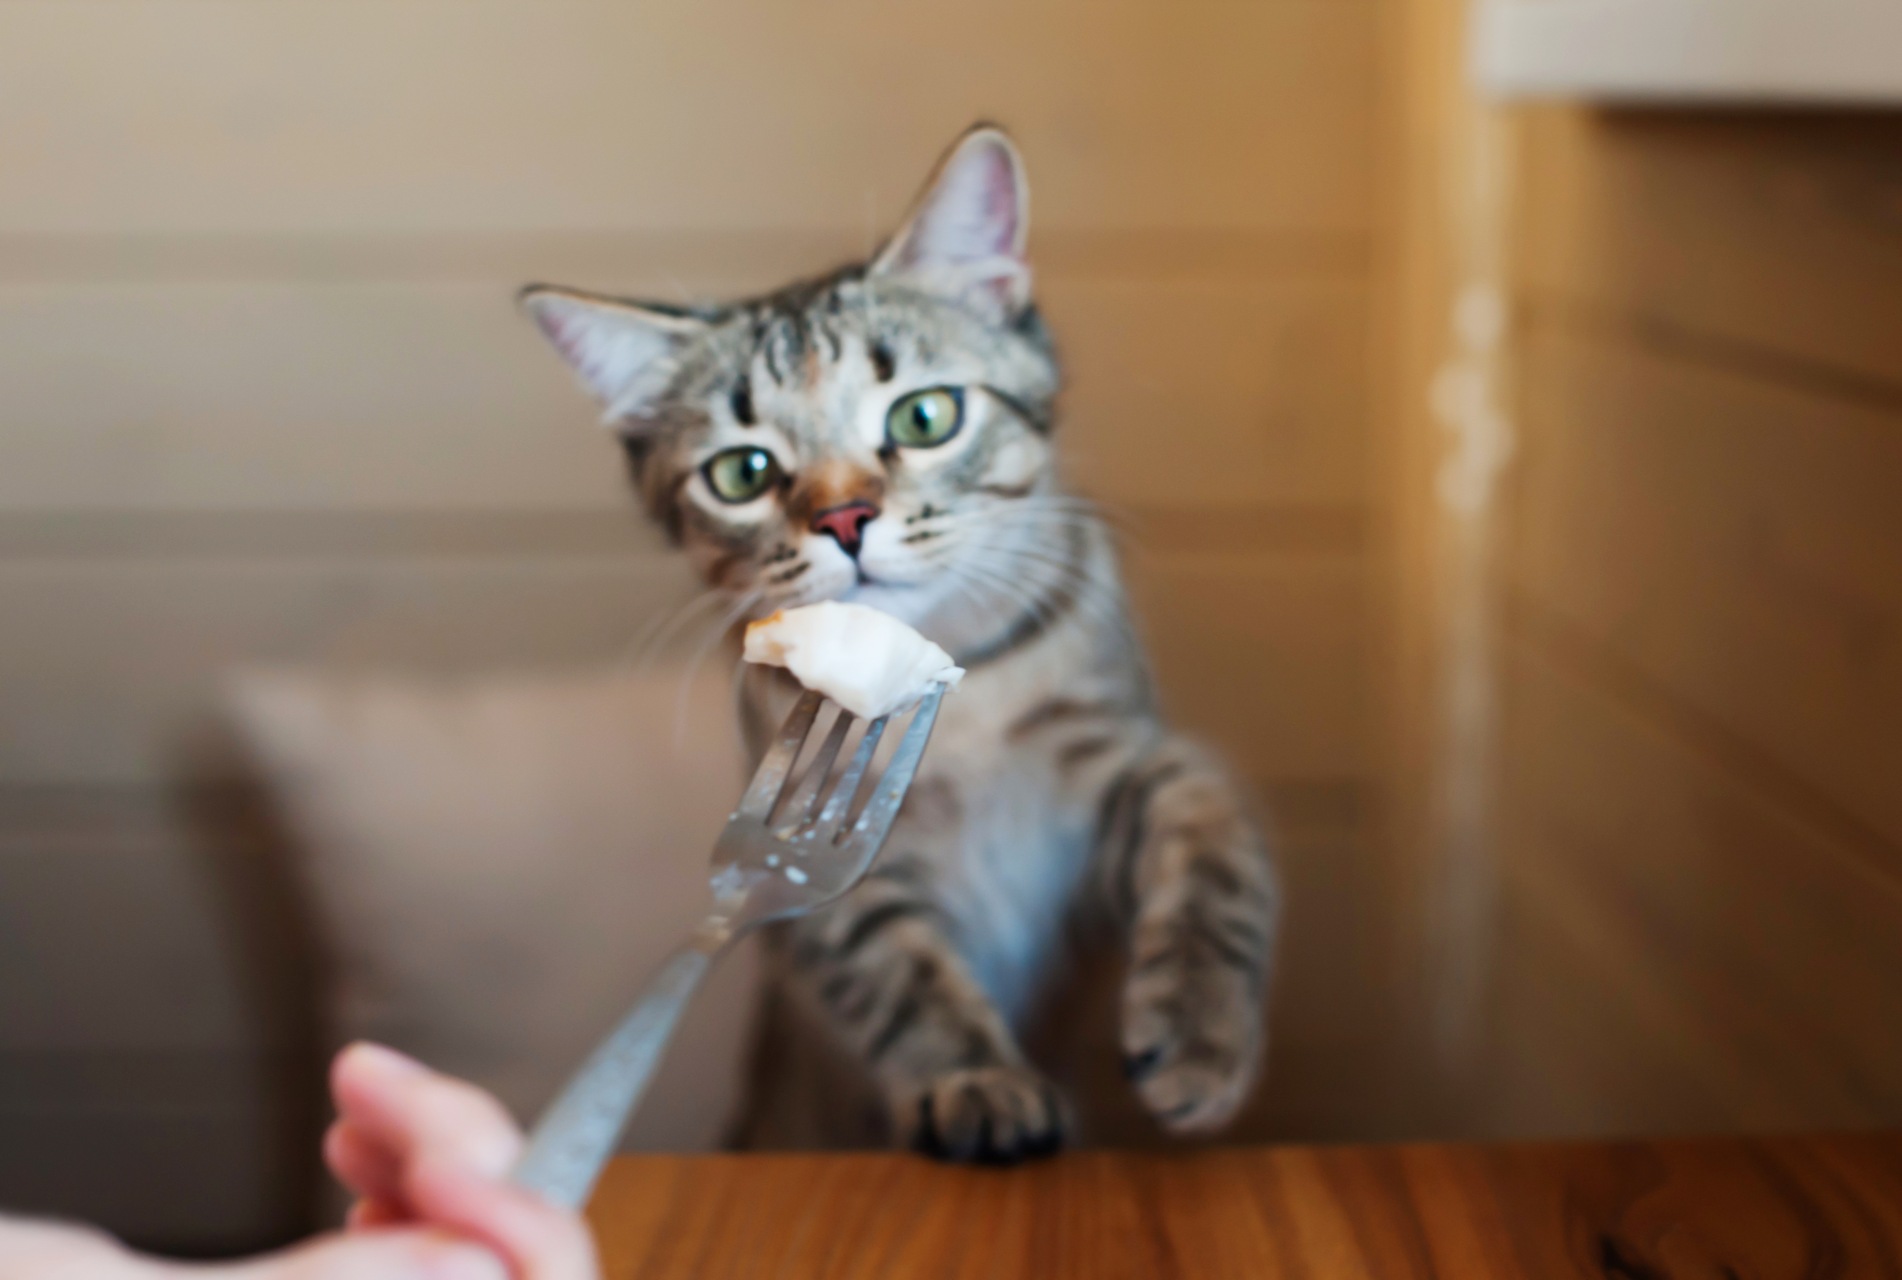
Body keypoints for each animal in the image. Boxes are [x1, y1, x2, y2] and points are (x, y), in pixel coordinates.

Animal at [521, 127, 1278, 1156]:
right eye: (742, 472)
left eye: (925, 416)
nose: (845, 518)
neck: (967, 693)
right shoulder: (828, 857)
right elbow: (900, 975)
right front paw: (976, 1080)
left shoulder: (1126, 759)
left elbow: (1213, 842)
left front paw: (1201, 1032)